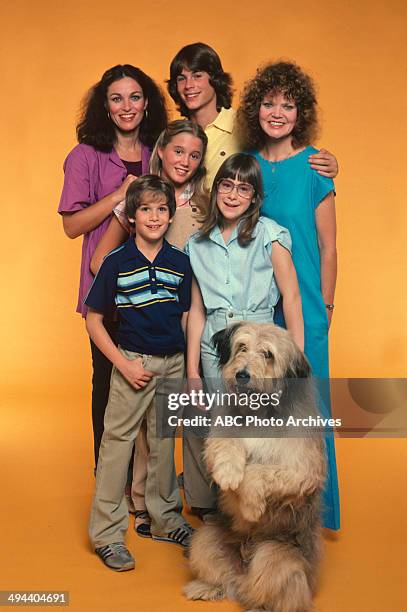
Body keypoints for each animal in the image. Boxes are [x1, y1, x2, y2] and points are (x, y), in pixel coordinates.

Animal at [185, 322, 328, 612]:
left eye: (268, 354)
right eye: (242, 347)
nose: (242, 375)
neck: (259, 413)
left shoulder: (301, 470)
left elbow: (258, 471)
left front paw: (251, 507)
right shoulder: (222, 433)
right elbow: (226, 447)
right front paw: (228, 475)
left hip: (275, 558)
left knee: (268, 591)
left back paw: (260, 605)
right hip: (205, 540)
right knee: (222, 577)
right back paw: (207, 587)